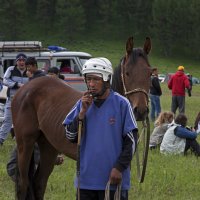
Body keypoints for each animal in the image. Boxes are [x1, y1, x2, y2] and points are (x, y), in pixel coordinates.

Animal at [12, 36, 152, 199]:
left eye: (149, 73)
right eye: (128, 73)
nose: (141, 110)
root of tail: (24, 90)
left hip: (48, 146)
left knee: (39, 183)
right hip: (25, 144)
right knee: (23, 184)